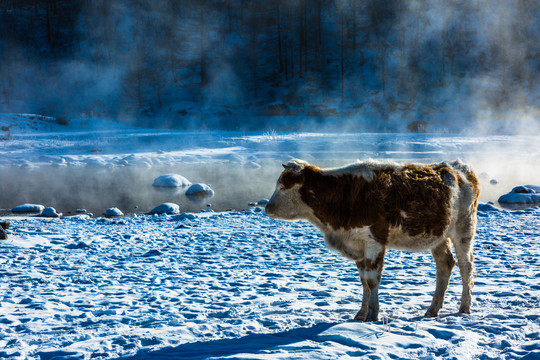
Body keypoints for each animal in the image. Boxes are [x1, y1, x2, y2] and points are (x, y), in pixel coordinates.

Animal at [266, 159, 480, 322]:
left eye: (283, 186)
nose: (267, 208)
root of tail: (460, 168)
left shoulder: (374, 242)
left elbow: (372, 280)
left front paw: (373, 314)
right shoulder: (358, 245)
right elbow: (363, 281)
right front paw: (361, 313)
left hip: (464, 229)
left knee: (466, 266)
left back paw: (464, 307)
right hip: (439, 236)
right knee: (445, 265)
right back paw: (432, 310)